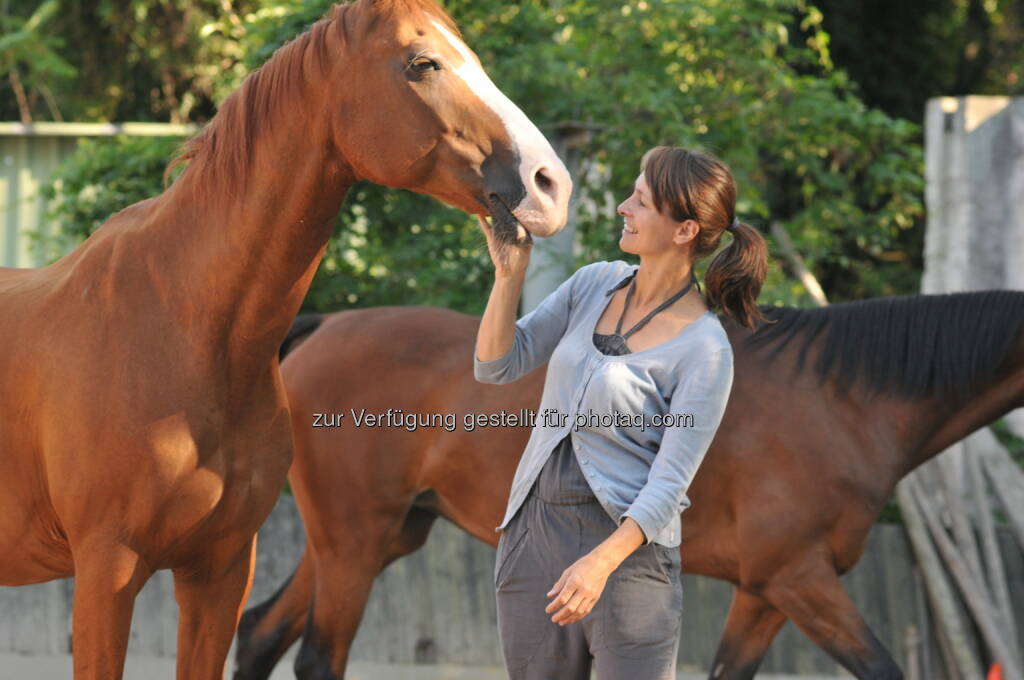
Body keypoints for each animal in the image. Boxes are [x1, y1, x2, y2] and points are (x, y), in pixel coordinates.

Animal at [232, 288, 1024, 675]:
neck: (840, 400)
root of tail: (322, 329)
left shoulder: (766, 592)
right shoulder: (799, 579)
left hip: (371, 539)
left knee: (260, 634)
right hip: (353, 544)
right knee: (316, 658)